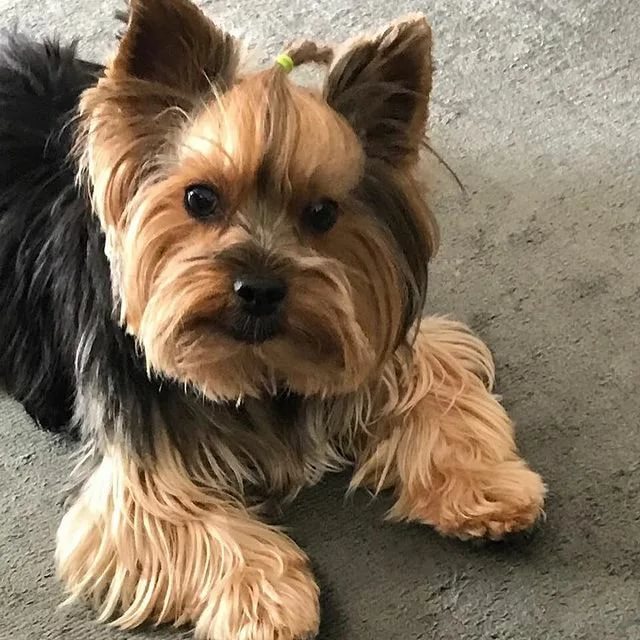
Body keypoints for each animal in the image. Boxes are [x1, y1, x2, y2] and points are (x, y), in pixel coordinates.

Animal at [0, 0, 546, 638]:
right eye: (200, 198)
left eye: (322, 213)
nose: (259, 289)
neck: (258, 363)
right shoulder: (137, 476)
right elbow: (176, 521)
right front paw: (269, 603)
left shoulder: (378, 340)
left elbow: (441, 378)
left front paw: (491, 486)